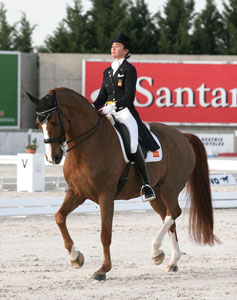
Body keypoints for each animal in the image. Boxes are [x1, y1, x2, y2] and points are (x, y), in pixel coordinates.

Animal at [26, 87, 219, 282]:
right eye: (38, 123)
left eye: (54, 122)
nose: (53, 158)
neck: (88, 146)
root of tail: (183, 136)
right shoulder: (76, 192)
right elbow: (59, 217)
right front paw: (76, 257)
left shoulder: (106, 196)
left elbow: (105, 234)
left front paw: (103, 269)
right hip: (156, 194)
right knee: (167, 217)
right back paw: (170, 260)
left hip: (169, 189)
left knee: (173, 213)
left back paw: (156, 250)